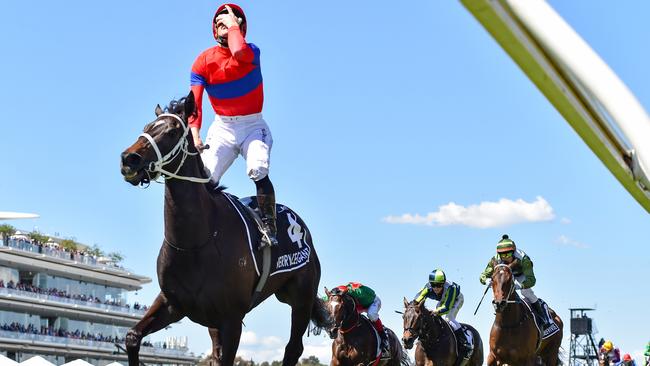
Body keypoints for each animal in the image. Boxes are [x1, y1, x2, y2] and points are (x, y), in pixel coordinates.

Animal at [117, 91, 330, 364]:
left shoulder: (232, 319)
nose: (129, 159)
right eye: (146, 128)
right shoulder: (172, 304)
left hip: (301, 298)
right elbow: (132, 337)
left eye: (172, 131)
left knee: (293, 348)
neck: (195, 242)